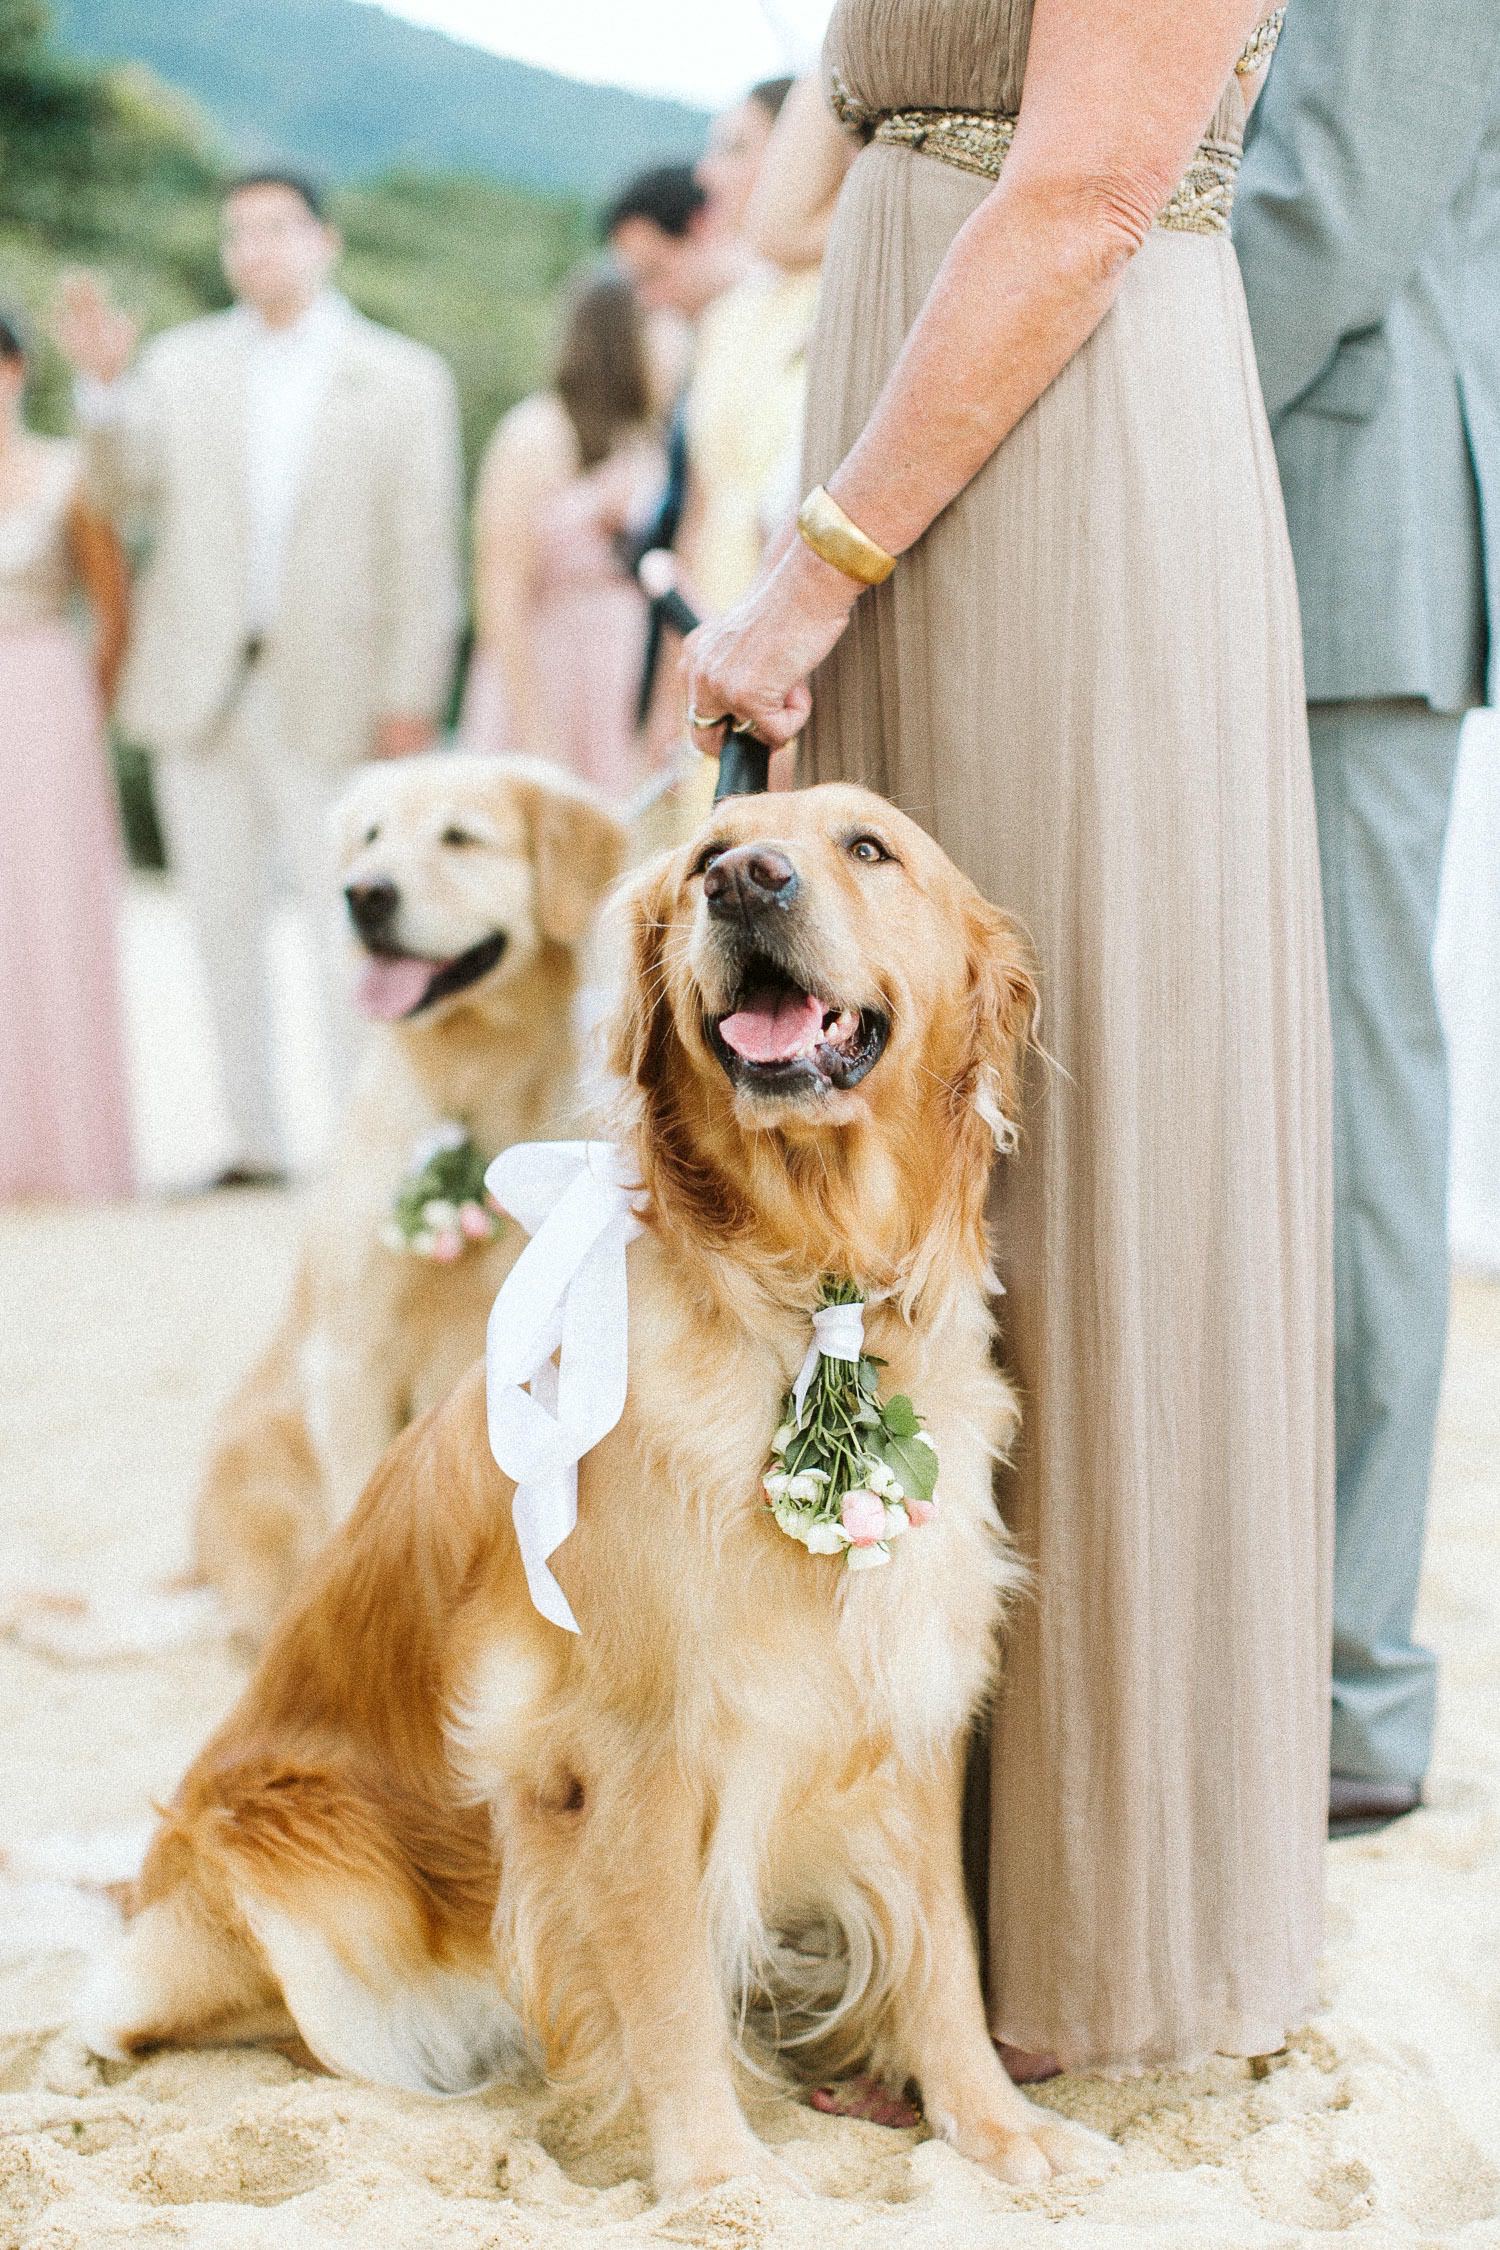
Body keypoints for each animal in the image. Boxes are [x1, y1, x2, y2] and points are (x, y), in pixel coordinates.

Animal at [82, 783, 1115, 2187]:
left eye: (869, 848)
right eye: (701, 859)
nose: (746, 879)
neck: (806, 1299)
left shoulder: (907, 1684)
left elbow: (944, 1946)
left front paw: (996, 2125)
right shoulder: (627, 1741)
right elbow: (667, 1973)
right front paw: (719, 2177)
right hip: (298, 1856)